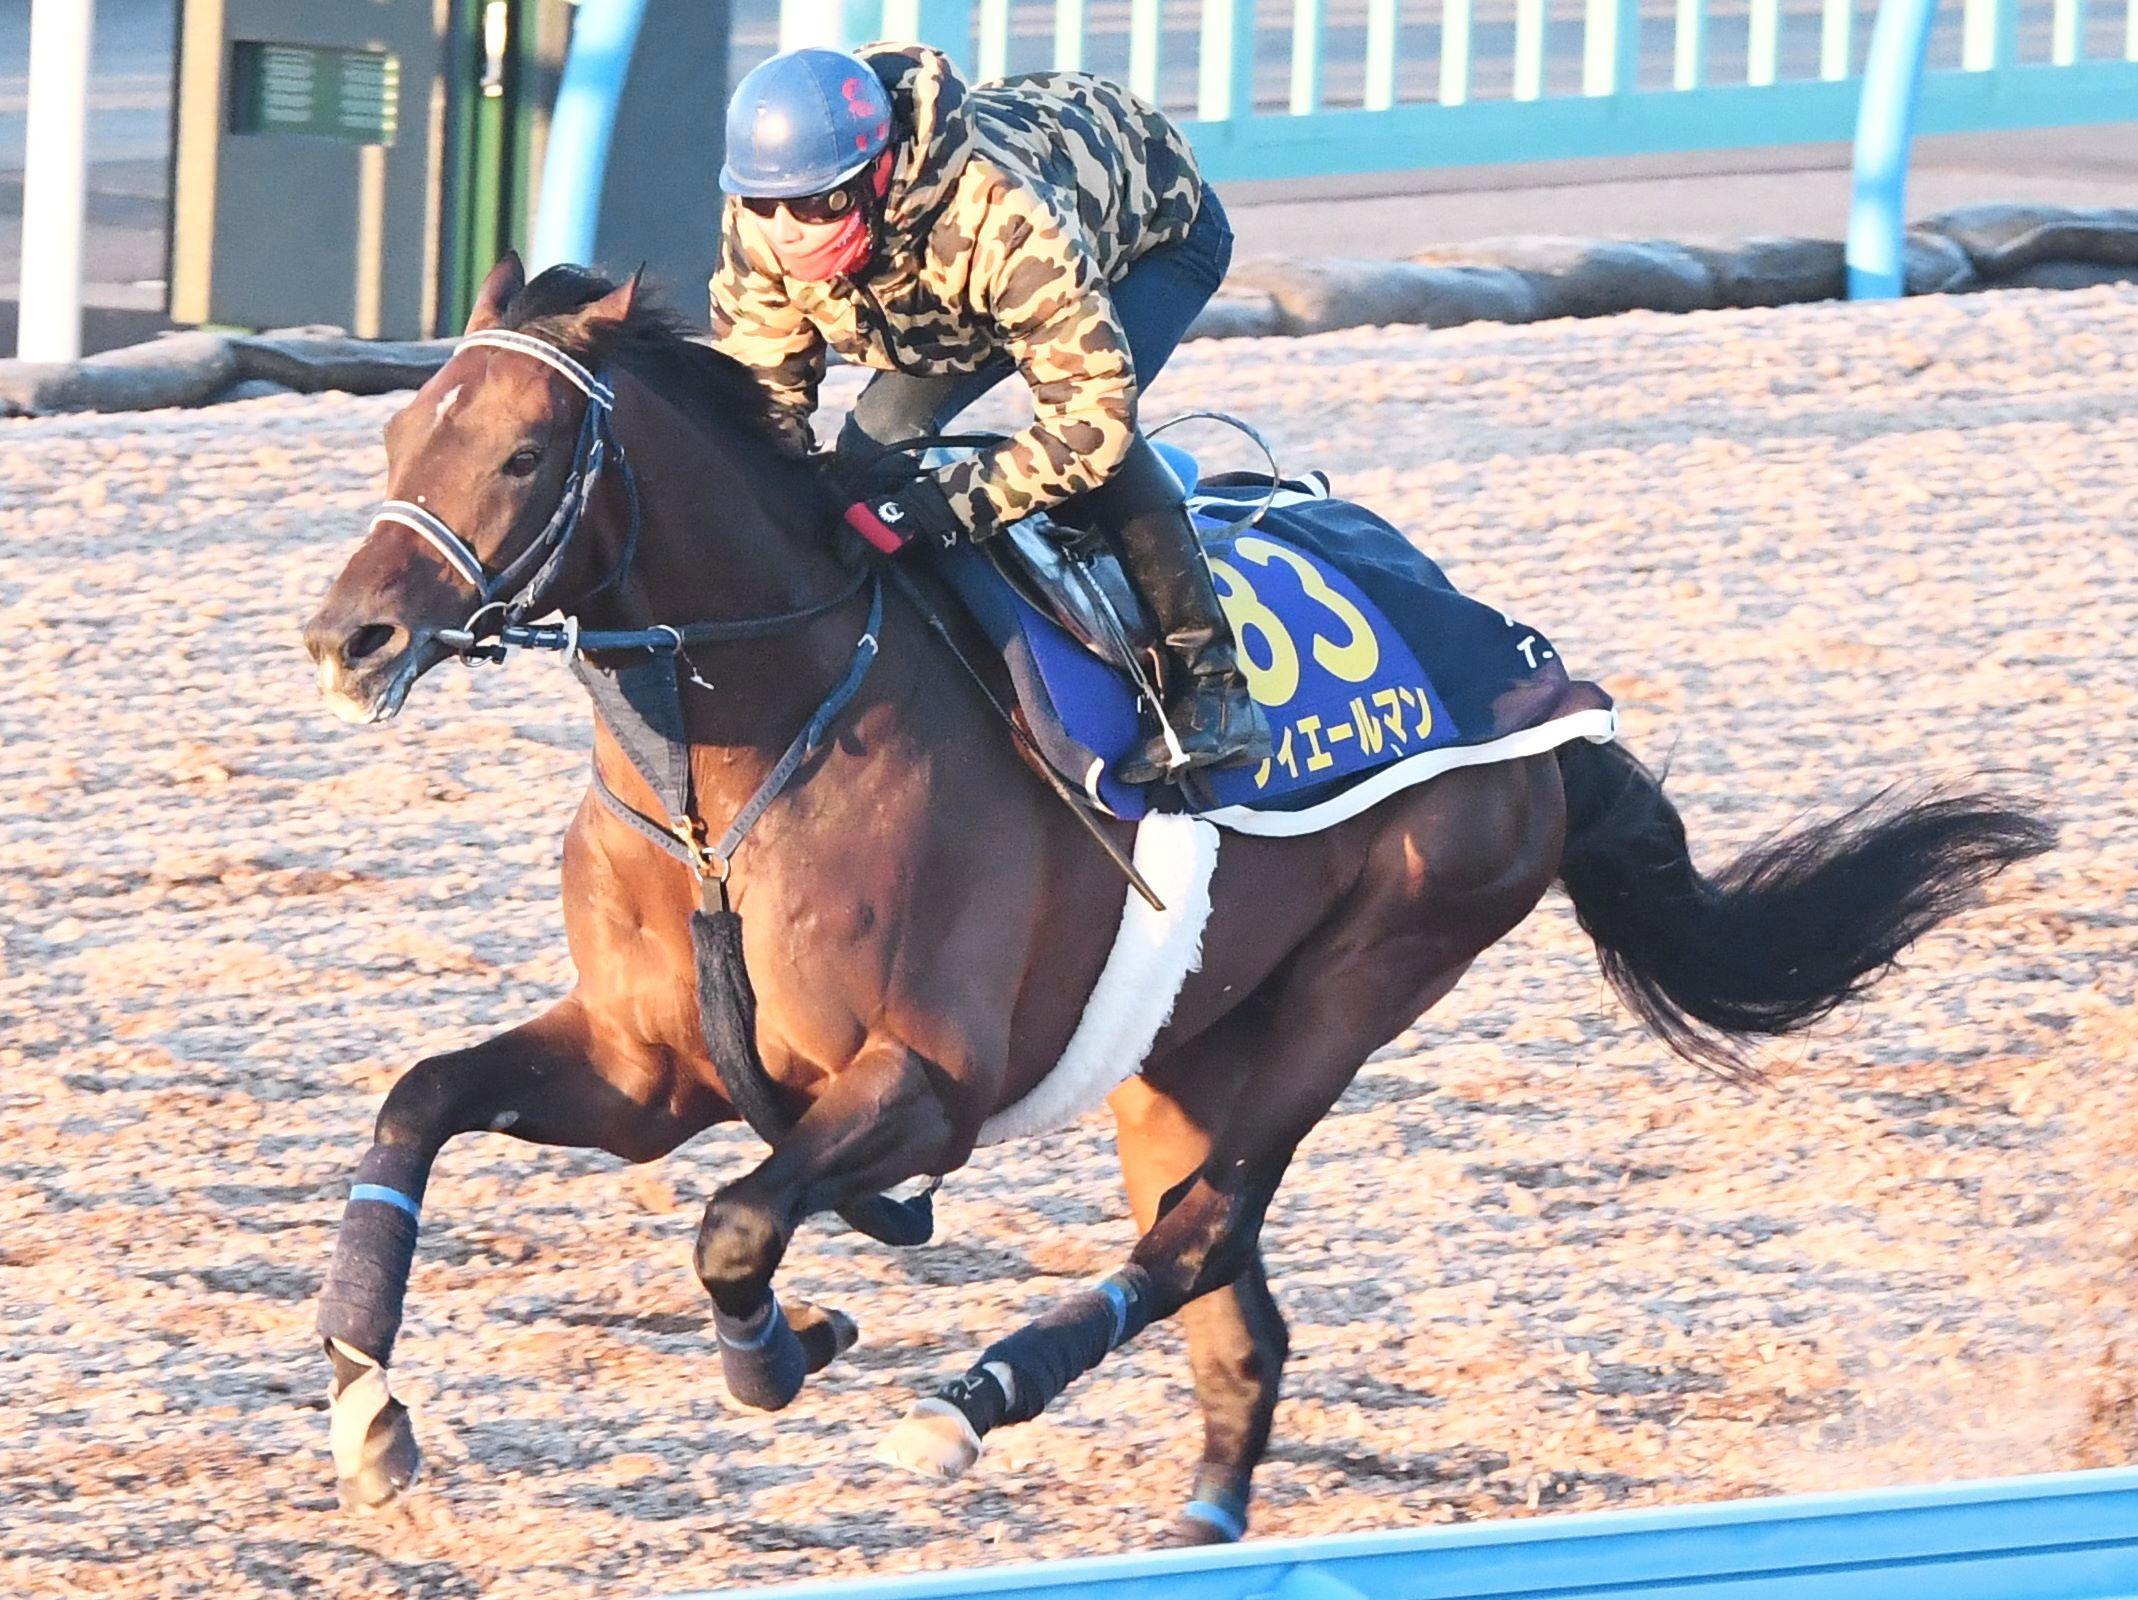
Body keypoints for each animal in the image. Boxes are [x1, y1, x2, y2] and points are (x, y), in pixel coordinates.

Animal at [297, 256, 2052, 1540]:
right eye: (394, 441)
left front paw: (784, 1355)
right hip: (1177, 1051)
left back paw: (970, 1402)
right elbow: (415, 1102)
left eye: (523, 451)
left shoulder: (930, 1082)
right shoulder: (644, 1067)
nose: (348, 639)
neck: (735, 770)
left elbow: (735, 1223)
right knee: (1235, 1319)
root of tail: (1547, 693)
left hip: (1364, 974)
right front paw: (369, 1408)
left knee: (1204, 1235)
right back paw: (1188, 1525)